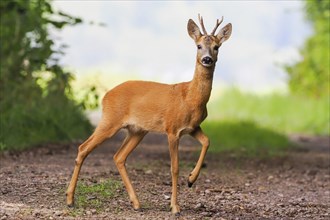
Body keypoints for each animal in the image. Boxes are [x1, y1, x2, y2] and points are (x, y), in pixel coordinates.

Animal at [65, 15, 232, 215]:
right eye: (198, 46)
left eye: (217, 47)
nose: (207, 59)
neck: (190, 98)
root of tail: (106, 95)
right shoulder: (172, 129)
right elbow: (174, 168)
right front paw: (175, 206)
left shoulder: (193, 127)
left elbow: (207, 141)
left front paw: (191, 179)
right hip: (110, 120)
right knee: (83, 148)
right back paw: (70, 200)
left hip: (137, 130)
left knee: (118, 157)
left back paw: (136, 203)